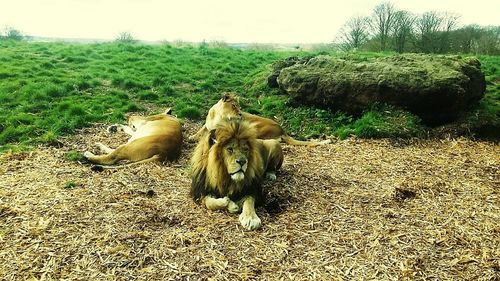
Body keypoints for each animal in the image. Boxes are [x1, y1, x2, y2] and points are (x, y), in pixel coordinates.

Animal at [189, 92, 330, 145]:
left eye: (239, 106)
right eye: (234, 105)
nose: (240, 114)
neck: (218, 115)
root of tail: (282, 130)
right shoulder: (207, 125)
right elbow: (201, 130)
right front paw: (192, 137)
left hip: (254, 127)